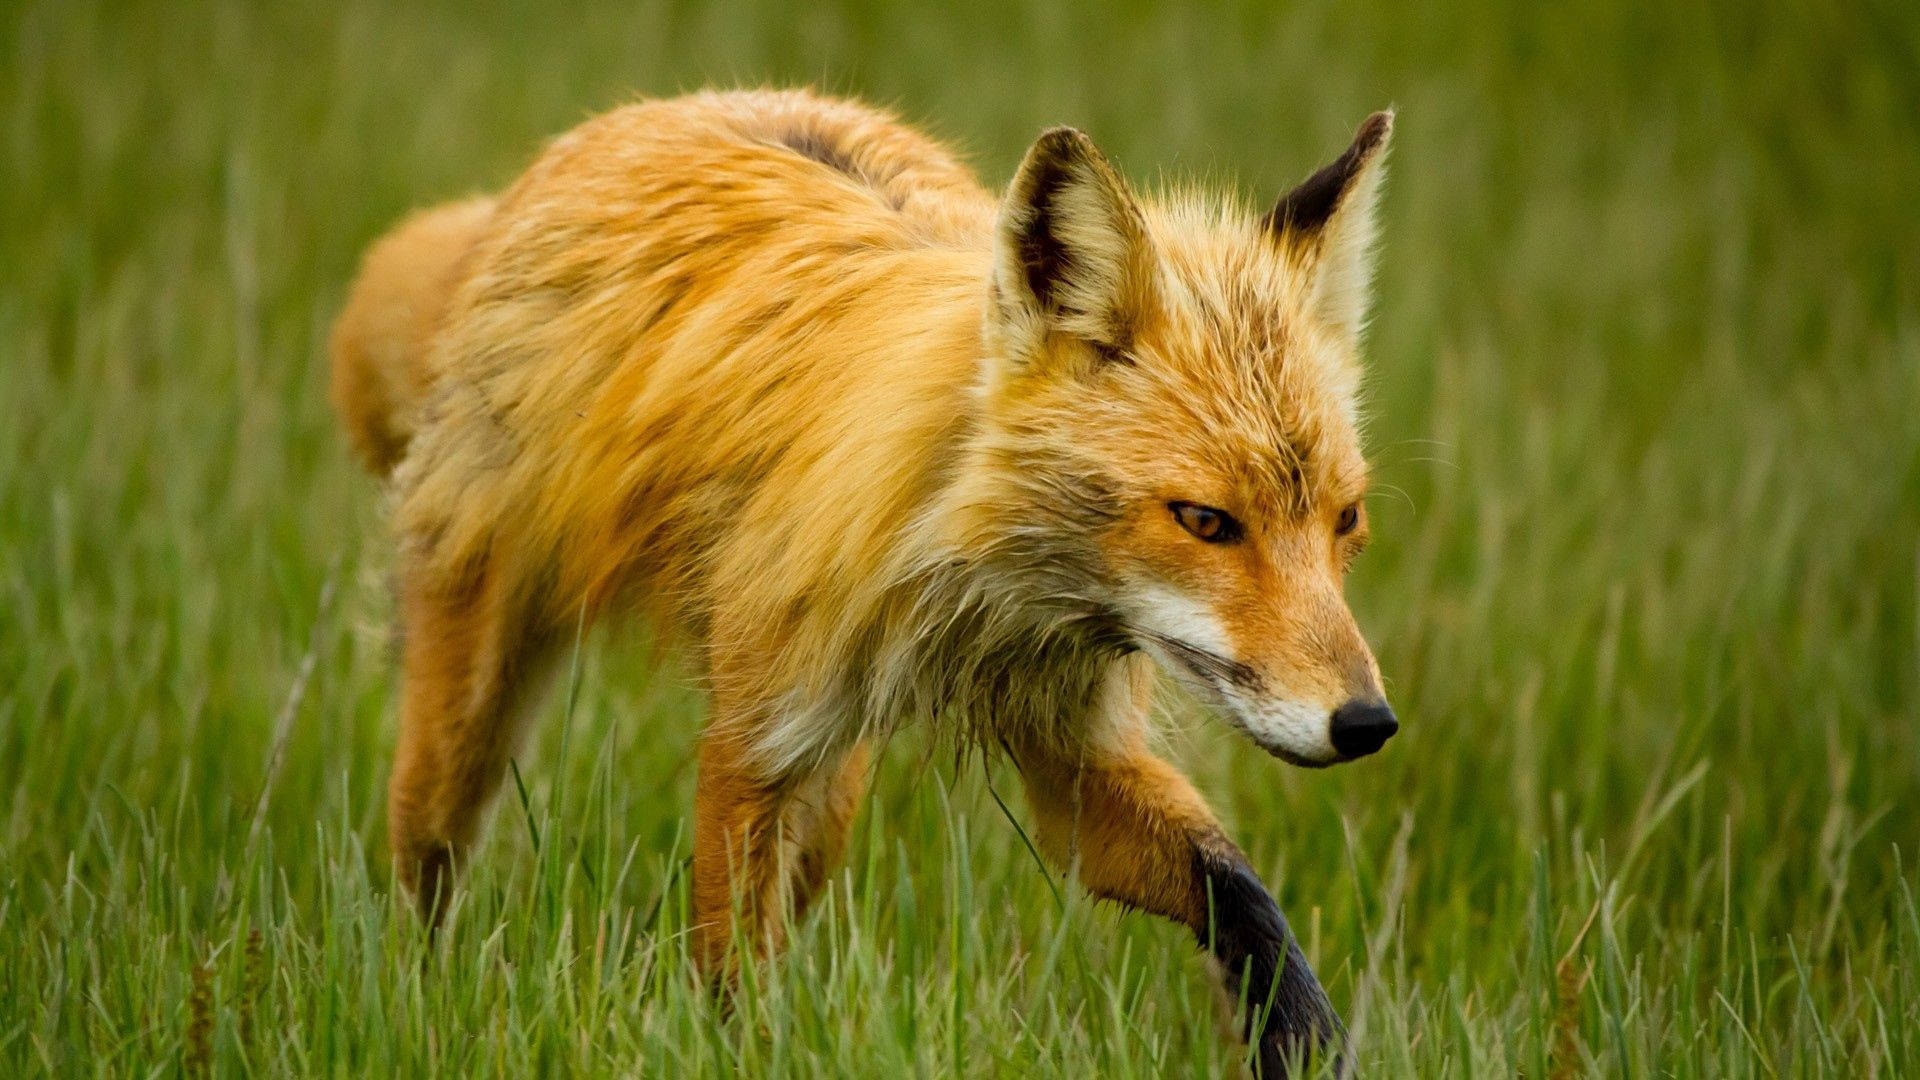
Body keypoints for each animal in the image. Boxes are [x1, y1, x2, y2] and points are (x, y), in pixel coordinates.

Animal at [330, 89, 1399, 1076]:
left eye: (1345, 520)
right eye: (1206, 522)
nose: (1366, 724)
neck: (990, 590)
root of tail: (628, 122)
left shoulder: (1073, 752)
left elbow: (1241, 893)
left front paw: (1302, 1042)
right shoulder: (753, 744)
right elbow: (728, 974)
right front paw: (739, 1054)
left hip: (835, 797)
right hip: (470, 720)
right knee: (426, 872)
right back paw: (417, 1000)